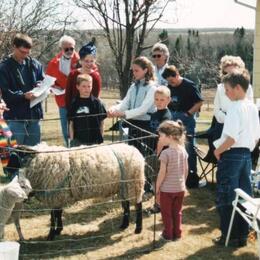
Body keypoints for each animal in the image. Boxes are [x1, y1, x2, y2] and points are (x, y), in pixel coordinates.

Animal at [12, 142, 145, 240]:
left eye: (14, 157)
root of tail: (136, 151)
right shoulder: (58, 196)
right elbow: (58, 213)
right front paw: (58, 230)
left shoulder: (54, 196)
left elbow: (53, 216)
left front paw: (51, 235)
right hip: (123, 187)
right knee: (126, 205)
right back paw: (124, 225)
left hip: (133, 184)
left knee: (138, 205)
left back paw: (138, 229)